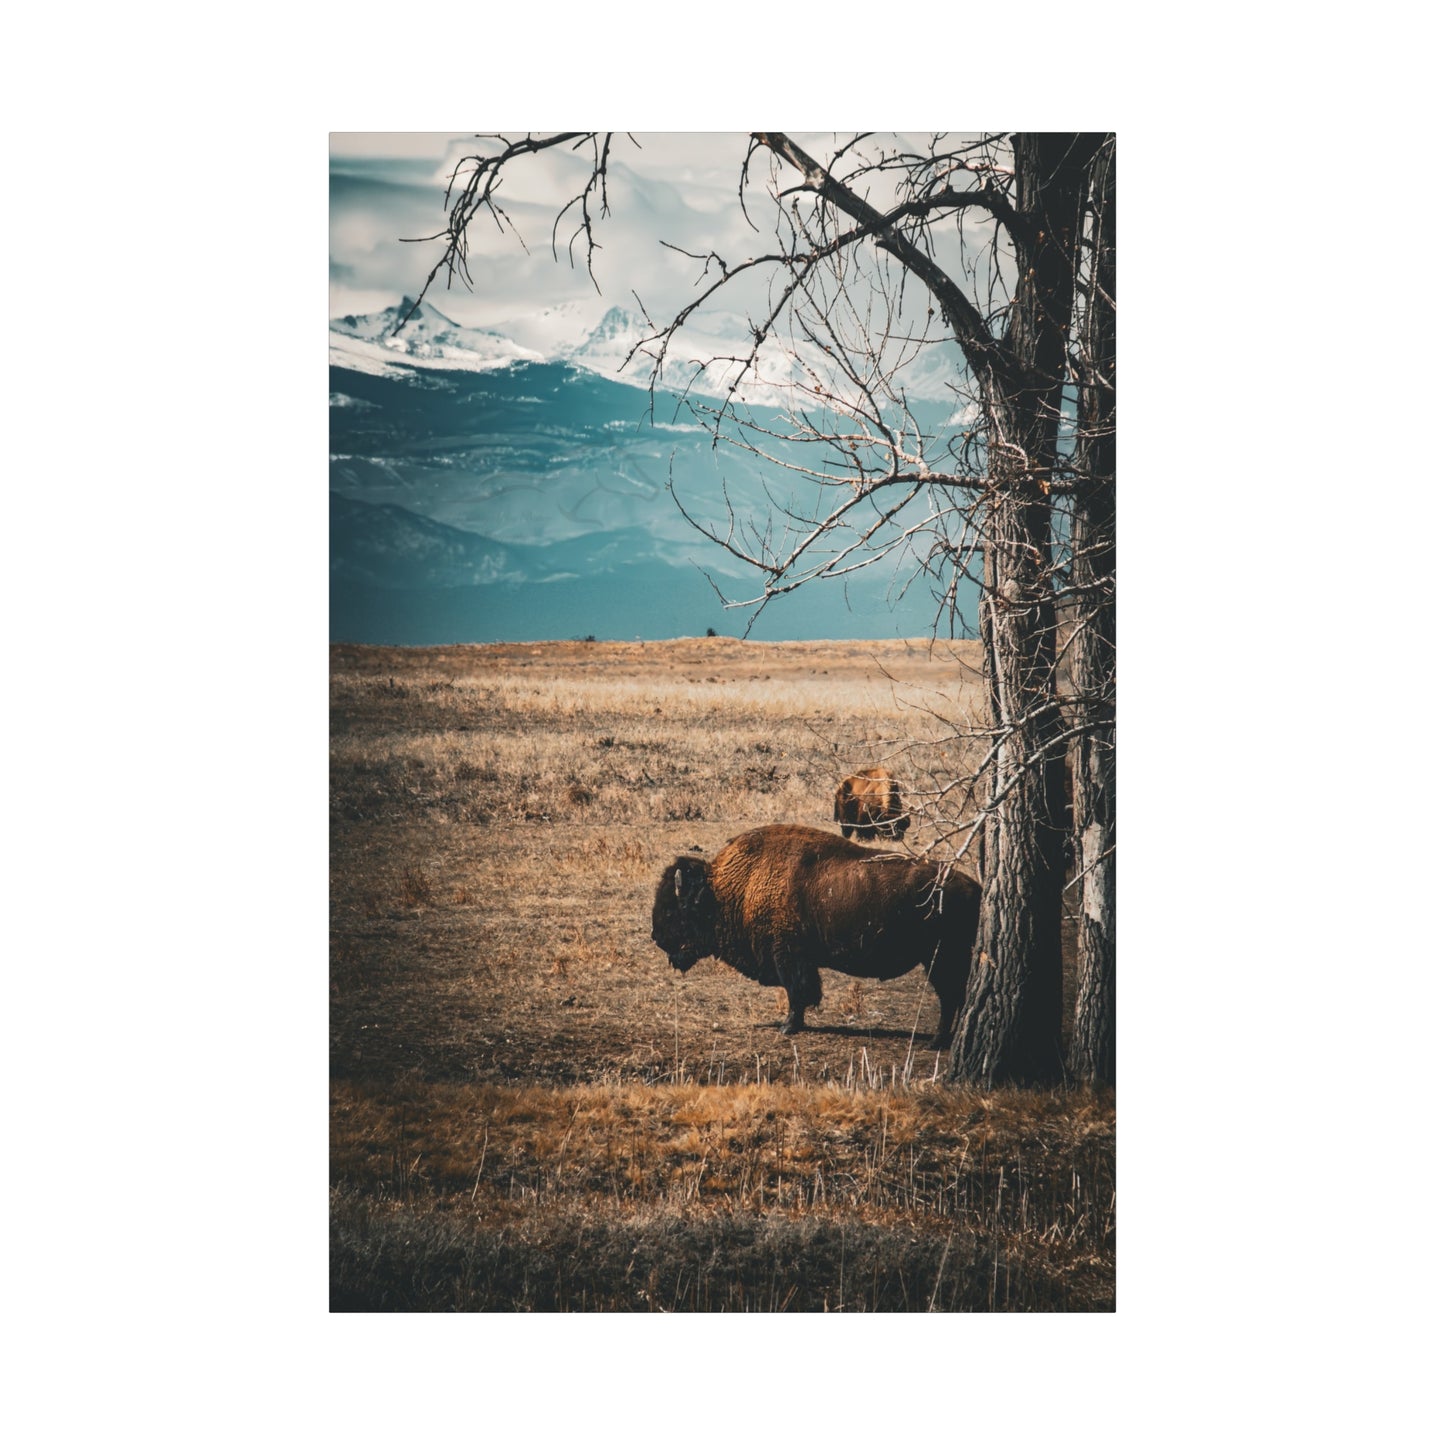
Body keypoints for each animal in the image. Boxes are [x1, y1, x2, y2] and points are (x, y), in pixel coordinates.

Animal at [651, 823, 979, 1049]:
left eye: (672, 909)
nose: (656, 936)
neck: (730, 888)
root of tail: (972, 887)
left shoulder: (789, 957)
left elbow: (798, 993)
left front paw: (788, 1026)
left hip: (939, 959)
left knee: (950, 996)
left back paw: (937, 1041)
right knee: (956, 996)